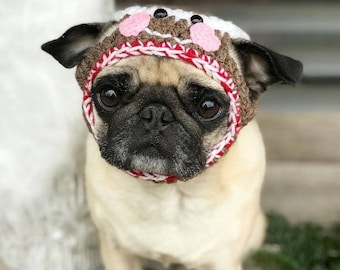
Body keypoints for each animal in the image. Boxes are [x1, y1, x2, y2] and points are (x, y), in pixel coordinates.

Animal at [41, 5, 302, 270]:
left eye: (207, 106)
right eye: (110, 95)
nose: (156, 113)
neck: (171, 193)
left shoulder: (222, 260)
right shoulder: (117, 252)